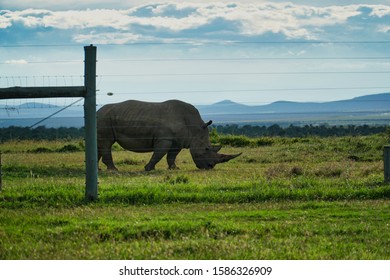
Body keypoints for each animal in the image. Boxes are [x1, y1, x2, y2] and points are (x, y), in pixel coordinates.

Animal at [96, 99, 241, 172]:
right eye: (206, 149)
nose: (210, 167)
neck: (195, 128)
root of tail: (97, 111)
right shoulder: (164, 139)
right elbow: (159, 154)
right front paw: (148, 169)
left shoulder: (178, 141)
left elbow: (172, 156)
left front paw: (174, 168)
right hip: (104, 119)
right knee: (106, 143)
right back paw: (114, 170)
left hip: (104, 118)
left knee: (99, 143)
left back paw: (98, 169)